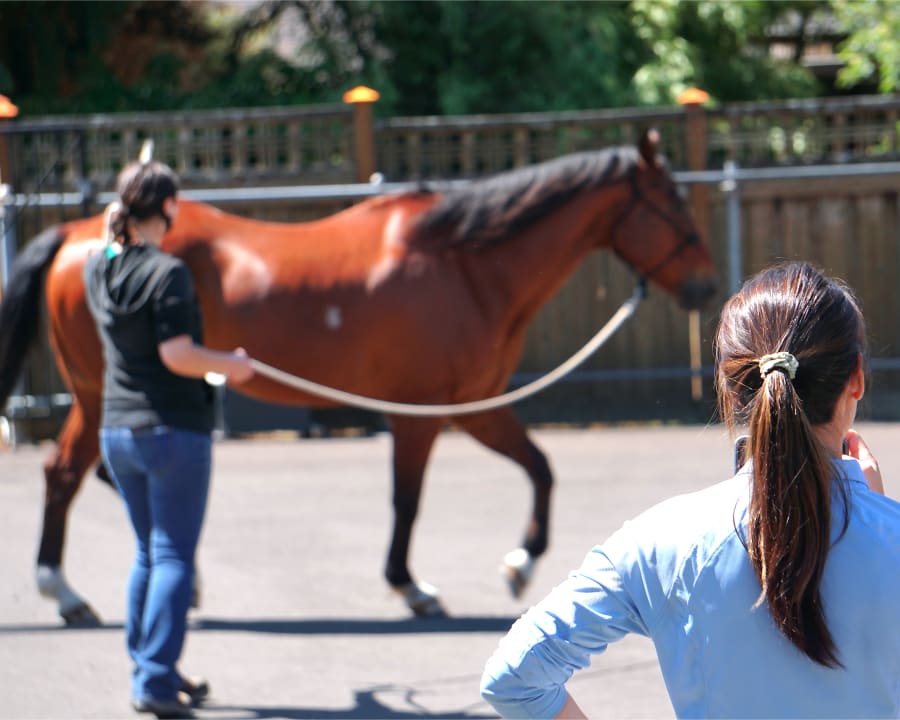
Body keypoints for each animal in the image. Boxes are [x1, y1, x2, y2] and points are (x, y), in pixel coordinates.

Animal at [0, 129, 716, 624]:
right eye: (673, 203)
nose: (707, 286)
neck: (463, 265)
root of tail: (80, 233)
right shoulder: (421, 414)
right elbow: (409, 499)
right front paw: (412, 584)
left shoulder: (475, 405)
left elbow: (540, 468)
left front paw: (519, 563)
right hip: (98, 394)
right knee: (64, 474)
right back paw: (65, 592)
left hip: (104, 396)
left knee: (98, 475)